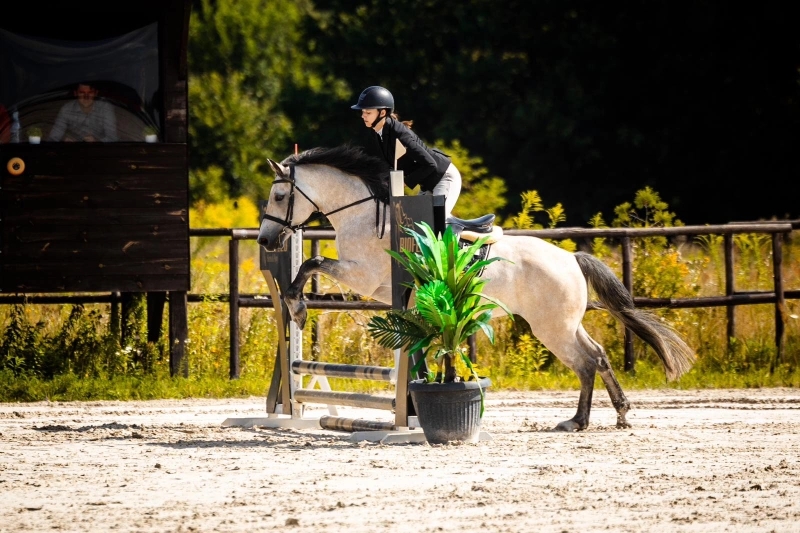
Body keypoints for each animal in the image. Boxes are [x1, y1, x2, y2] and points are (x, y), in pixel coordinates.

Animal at [258, 143, 692, 430]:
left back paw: (578, 421)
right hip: (565, 323)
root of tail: (571, 258)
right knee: (598, 356)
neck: (363, 212)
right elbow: (311, 268)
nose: (265, 240)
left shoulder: (363, 275)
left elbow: (311, 264)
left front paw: (298, 308)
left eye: (279, 195)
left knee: (585, 363)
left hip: (551, 327)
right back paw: (617, 413)